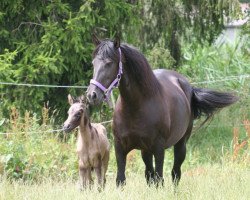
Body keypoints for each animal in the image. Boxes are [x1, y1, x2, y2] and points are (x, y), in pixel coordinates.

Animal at [87, 36, 237, 187]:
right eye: (94, 63)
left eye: (109, 63)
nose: (92, 95)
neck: (135, 108)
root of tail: (186, 85)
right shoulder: (120, 148)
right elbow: (122, 180)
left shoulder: (159, 149)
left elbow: (160, 178)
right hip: (146, 151)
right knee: (150, 175)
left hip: (180, 144)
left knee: (175, 173)